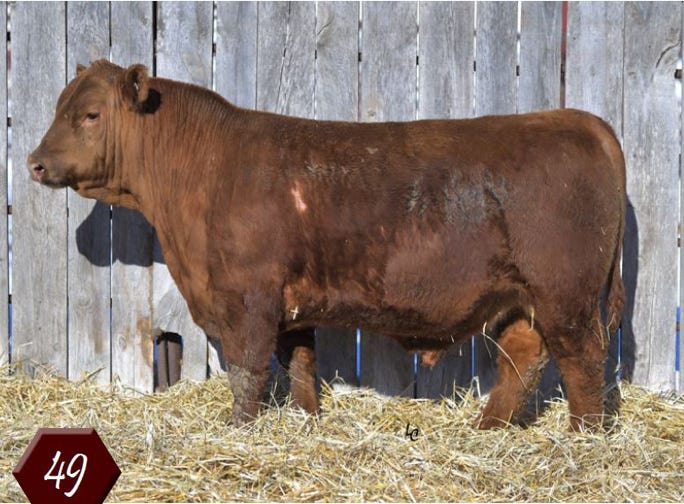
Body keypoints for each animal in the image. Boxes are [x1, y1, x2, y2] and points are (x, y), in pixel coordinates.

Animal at [28, 60, 625, 431]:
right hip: (520, 297)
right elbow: (300, 366)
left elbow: (247, 371)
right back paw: (486, 431)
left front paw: (237, 431)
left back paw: (582, 440)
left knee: (583, 361)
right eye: (59, 107)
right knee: (523, 358)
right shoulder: (291, 305)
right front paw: (306, 421)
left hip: (566, 295)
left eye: (90, 115)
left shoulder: (248, 298)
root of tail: (581, 121)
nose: (34, 162)